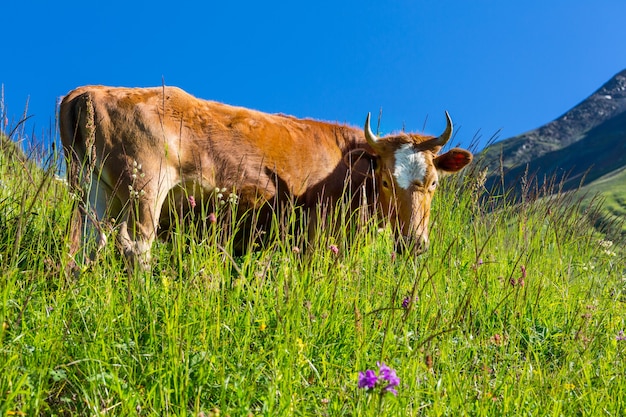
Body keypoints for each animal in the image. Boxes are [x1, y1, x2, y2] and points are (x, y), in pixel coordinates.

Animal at [61, 86, 470, 272]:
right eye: (386, 181)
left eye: (433, 183)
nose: (414, 243)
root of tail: (89, 90)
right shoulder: (317, 238)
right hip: (145, 186)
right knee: (134, 246)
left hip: (94, 190)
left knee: (89, 244)